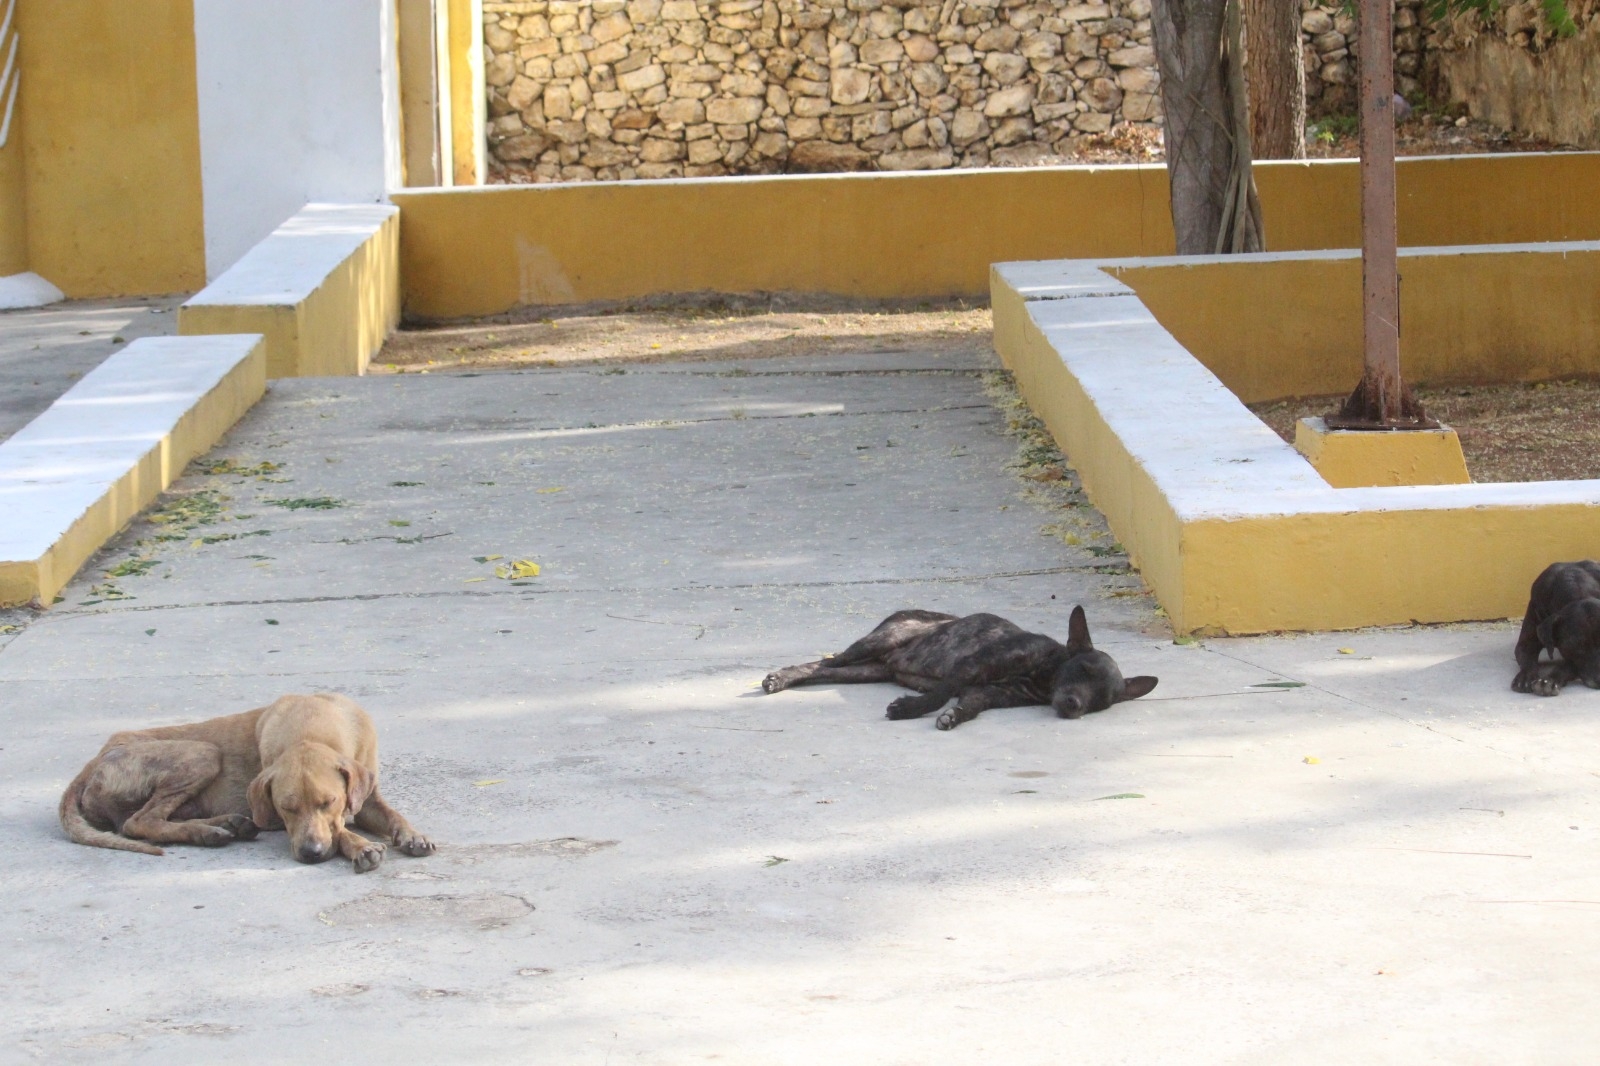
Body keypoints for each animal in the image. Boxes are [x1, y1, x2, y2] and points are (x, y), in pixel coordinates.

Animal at [60, 688, 435, 870]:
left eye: (329, 801)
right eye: (285, 809)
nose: (311, 854)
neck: (310, 729)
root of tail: (91, 763)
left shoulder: (365, 797)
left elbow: (391, 814)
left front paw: (413, 835)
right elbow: (340, 830)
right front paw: (359, 846)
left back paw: (225, 825)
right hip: (202, 753)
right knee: (138, 822)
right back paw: (208, 833)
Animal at [755, 601, 1158, 726]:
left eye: (1102, 701)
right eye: (1083, 670)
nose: (1073, 706)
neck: (1045, 671)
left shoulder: (988, 694)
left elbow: (969, 706)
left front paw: (953, 716)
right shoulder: (969, 667)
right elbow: (940, 693)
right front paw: (909, 709)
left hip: (868, 671)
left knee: (827, 670)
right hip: (876, 642)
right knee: (822, 662)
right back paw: (781, 677)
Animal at [1510, 560, 1600, 694]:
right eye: (1578, 646)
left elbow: (1569, 665)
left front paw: (1550, 679)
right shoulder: (1525, 643)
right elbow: (1528, 660)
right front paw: (1526, 676)